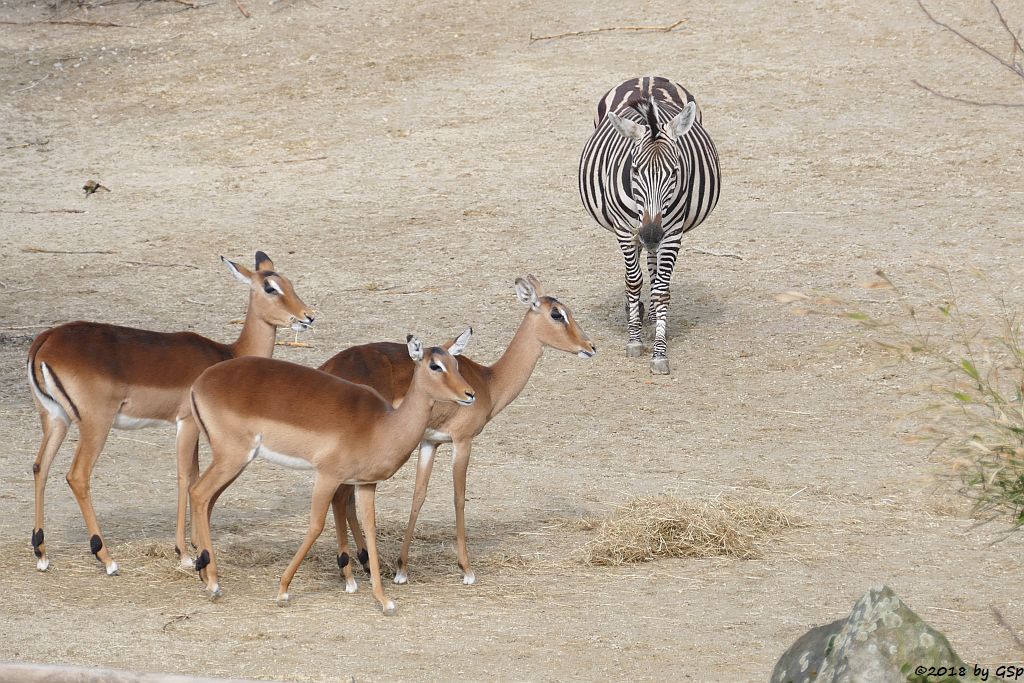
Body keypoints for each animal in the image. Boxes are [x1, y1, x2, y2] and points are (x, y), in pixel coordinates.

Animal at [577, 76, 720, 374]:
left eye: (675, 171)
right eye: (634, 170)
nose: (652, 233)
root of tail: (648, 77)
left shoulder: (672, 232)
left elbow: (662, 290)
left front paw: (659, 352)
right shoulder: (625, 229)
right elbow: (633, 281)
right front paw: (634, 340)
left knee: (653, 266)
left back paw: (652, 313)